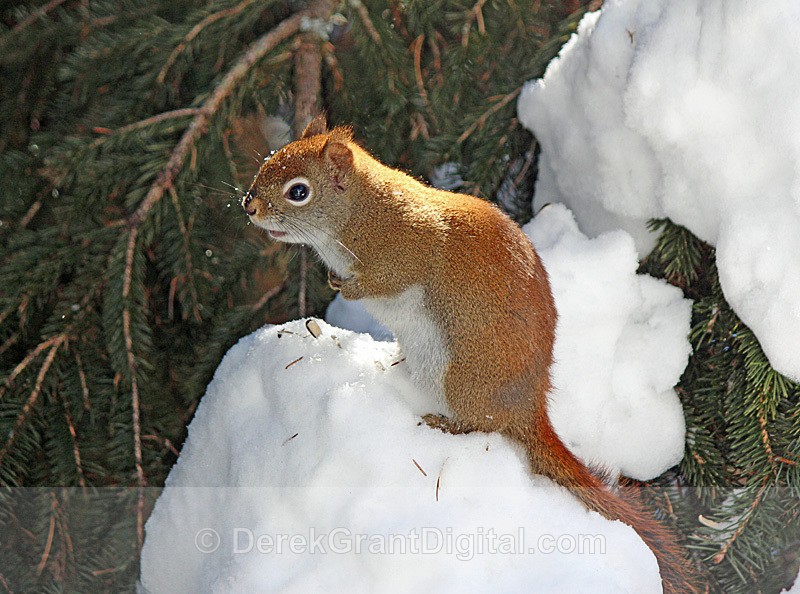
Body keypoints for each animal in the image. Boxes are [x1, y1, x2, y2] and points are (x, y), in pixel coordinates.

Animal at [242, 115, 701, 593]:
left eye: (298, 191)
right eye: (268, 162)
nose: (248, 206)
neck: (362, 213)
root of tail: (528, 408)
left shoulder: (406, 253)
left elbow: (380, 282)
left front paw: (346, 285)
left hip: (462, 378)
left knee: (482, 425)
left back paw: (444, 424)